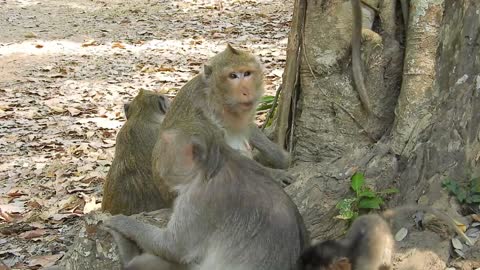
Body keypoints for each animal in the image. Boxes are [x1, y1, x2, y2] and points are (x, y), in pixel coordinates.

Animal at [104, 126, 308, 270]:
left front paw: (122, 222)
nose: (155, 164)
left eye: (161, 153)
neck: (213, 166)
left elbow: (173, 248)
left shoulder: (198, 198)